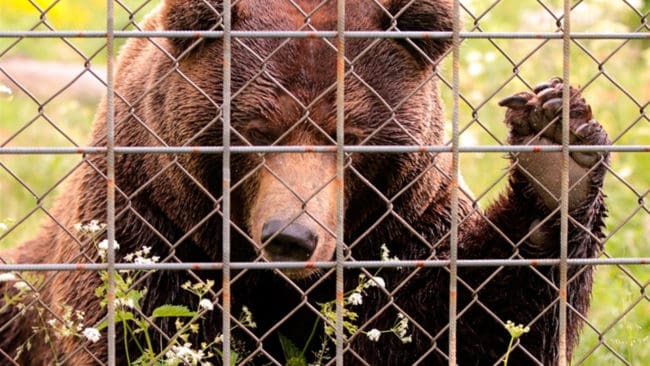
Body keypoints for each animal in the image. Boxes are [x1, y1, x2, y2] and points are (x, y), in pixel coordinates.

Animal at [0, 0, 608, 364]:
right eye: (254, 131)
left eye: (351, 136)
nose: (291, 236)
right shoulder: (146, 222)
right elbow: (142, 328)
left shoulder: (403, 229)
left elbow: (472, 317)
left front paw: (557, 158)